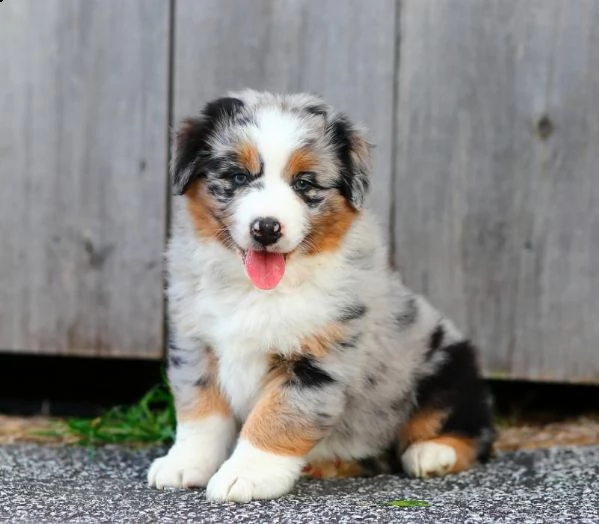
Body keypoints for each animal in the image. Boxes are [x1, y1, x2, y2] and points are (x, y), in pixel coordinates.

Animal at [148, 91, 494, 504]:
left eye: (303, 183)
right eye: (238, 177)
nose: (266, 228)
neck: (258, 290)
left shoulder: (320, 360)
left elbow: (277, 417)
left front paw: (246, 475)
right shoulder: (195, 343)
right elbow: (200, 412)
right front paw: (184, 464)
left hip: (448, 364)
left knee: (474, 430)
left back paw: (432, 452)